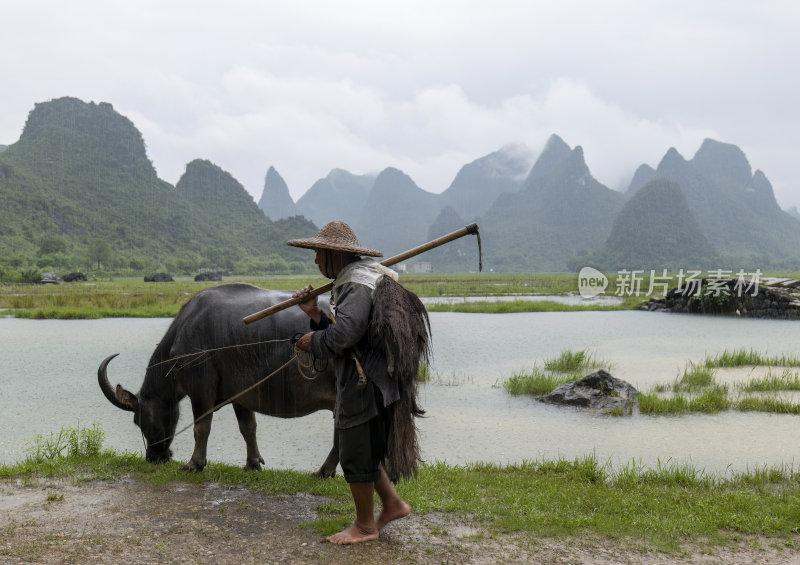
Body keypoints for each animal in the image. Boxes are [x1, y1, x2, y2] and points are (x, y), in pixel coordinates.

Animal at [97, 284, 338, 474]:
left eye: (138, 420)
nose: (154, 457)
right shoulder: (240, 395)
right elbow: (248, 428)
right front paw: (252, 463)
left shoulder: (201, 388)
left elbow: (201, 427)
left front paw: (194, 463)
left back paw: (323, 471)